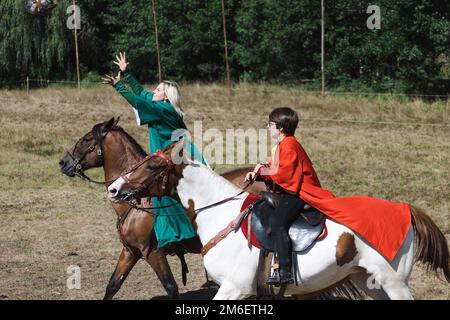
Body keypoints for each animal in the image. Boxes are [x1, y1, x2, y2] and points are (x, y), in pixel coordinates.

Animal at [59, 118, 264, 300]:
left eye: (87, 139)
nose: (63, 163)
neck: (137, 205)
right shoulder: (130, 251)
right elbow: (113, 286)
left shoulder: (153, 253)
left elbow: (171, 288)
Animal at [108, 140, 450, 300]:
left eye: (153, 166)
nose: (114, 188)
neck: (220, 214)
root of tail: (406, 209)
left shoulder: (234, 288)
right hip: (368, 280)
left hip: (394, 281)